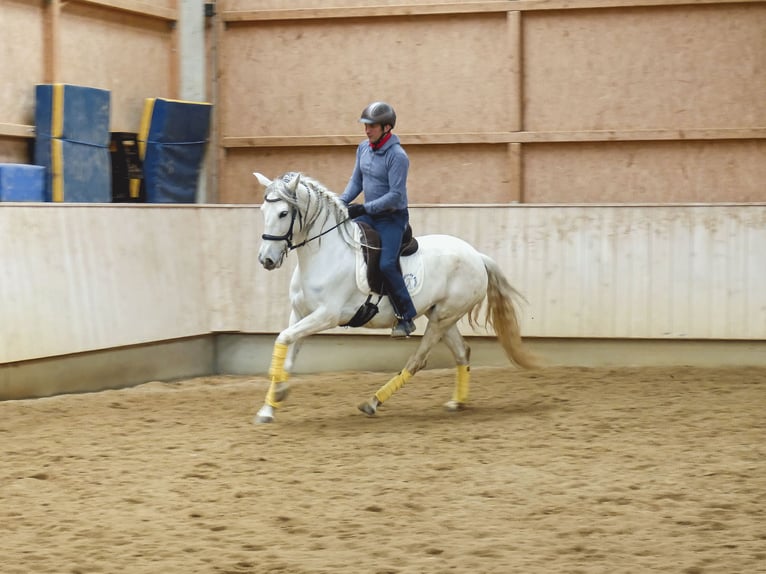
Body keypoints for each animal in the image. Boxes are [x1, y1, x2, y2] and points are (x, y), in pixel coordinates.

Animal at [253, 171, 539, 423]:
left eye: (283, 213)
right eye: (263, 211)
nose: (266, 260)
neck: (324, 255)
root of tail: (476, 256)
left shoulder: (326, 316)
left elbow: (282, 338)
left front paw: (275, 398)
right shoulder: (301, 313)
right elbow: (288, 351)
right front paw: (271, 405)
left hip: (442, 318)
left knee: (418, 360)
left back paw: (372, 402)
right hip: (442, 316)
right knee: (462, 352)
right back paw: (457, 402)